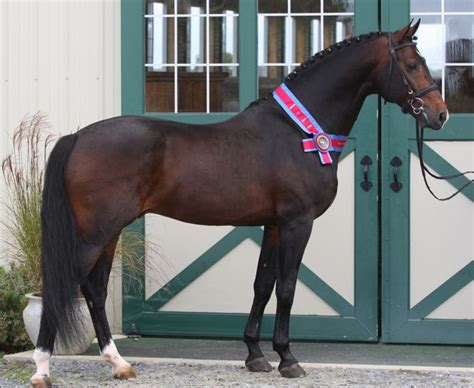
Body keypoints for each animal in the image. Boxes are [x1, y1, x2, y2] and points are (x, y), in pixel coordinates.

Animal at [31, 20, 446, 384]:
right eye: (412, 64)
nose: (439, 114)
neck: (296, 130)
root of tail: (78, 136)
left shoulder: (273, 225)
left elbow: (262, 284)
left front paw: (256, 356)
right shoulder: (297, 223)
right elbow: (287, 287)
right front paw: (288, 359)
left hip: (109, 232)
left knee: (95, 290)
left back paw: (118, 363)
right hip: (95, 234)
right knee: (62, 285)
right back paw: (42, 368)